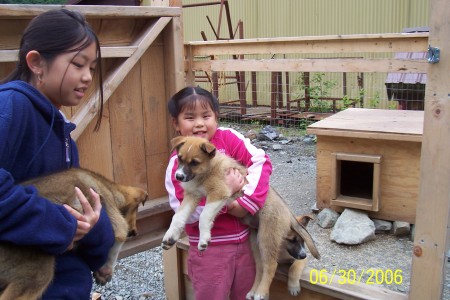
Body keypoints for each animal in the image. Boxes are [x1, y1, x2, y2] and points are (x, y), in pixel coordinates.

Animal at [0, 169, 149, 300]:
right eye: (136, 210)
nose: (135, 233)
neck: (110, 189)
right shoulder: (117, 222)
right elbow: (116, 244)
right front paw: (106, 270)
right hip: (36, 271)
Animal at [162, 137, 320, 300]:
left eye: (194, 162)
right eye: (179, 158)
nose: (178, 176)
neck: (206, 172)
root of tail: (288, 212)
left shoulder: (218, 193)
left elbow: (204, 216)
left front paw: (204, 239)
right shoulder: (192, 197)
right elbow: (178, 217)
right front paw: (170, 237)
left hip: (267, 236)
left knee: (271, 265)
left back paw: (261, 293)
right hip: (256, 240)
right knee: (261, 266)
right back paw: (254, 291)